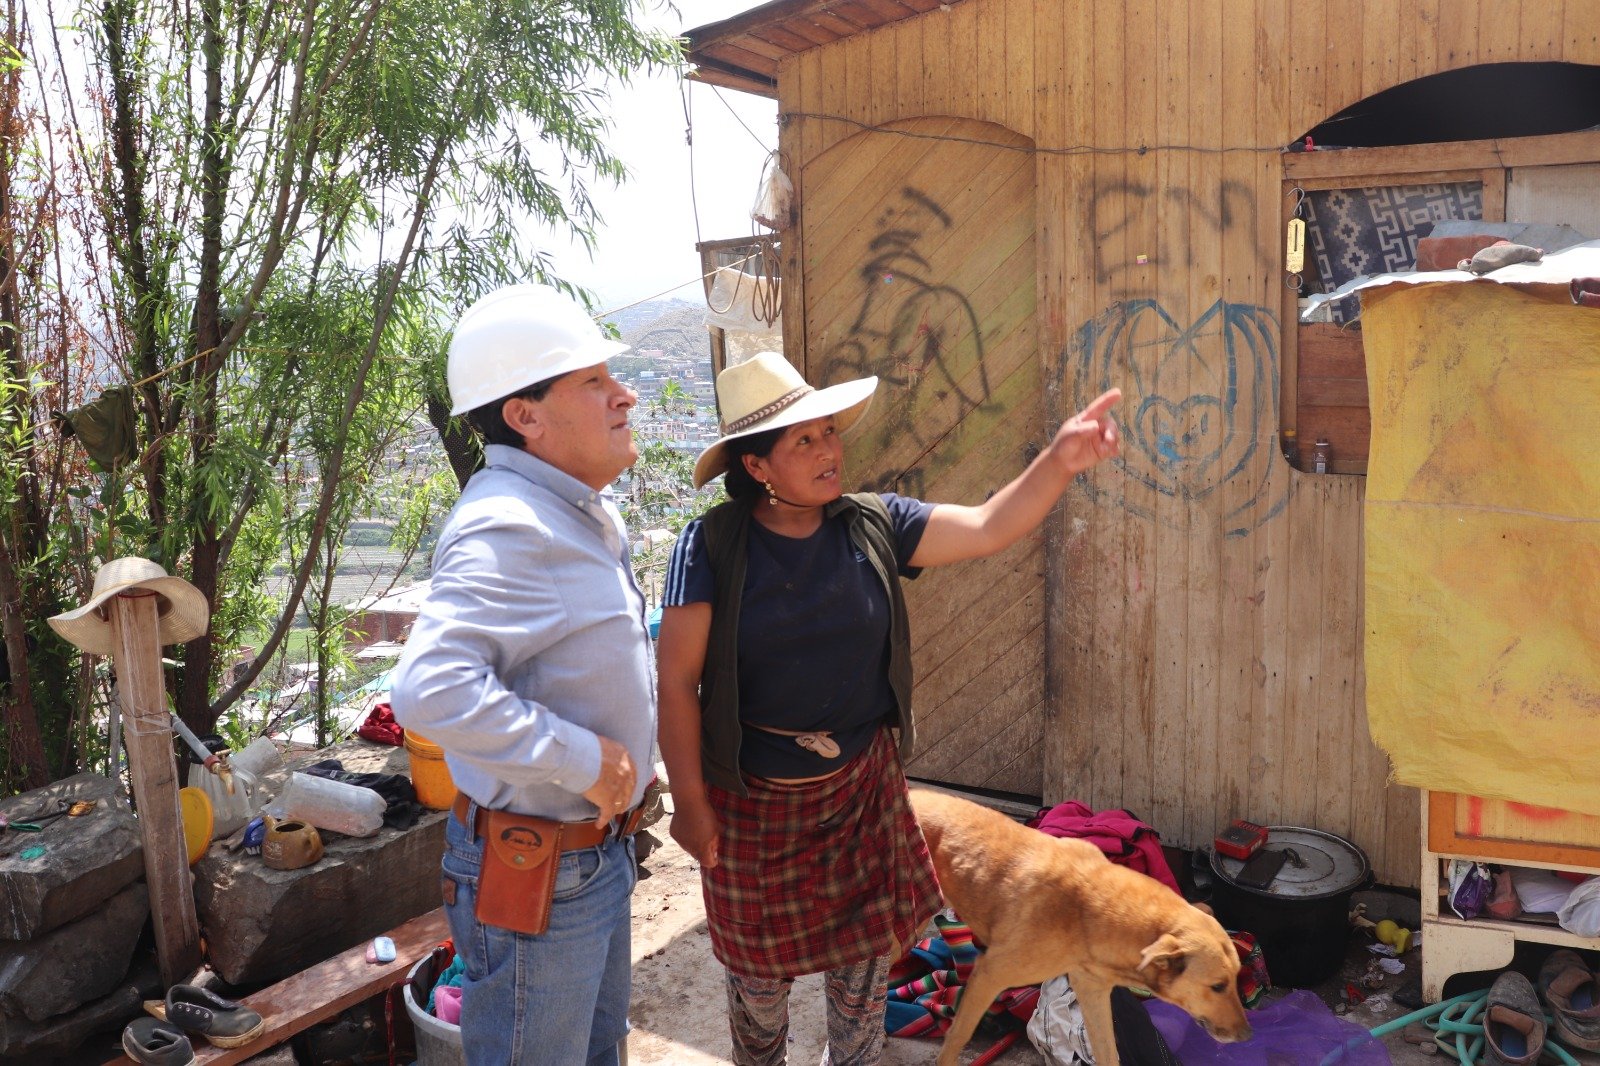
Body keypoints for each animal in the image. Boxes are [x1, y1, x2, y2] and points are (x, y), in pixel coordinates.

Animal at [915, 787, 1248, 1062]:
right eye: (1218, 986)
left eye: (1237, 978)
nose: (1247, 1035)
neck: (1089, 909)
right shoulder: (988, 974)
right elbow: (956, 1037)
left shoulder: (1093, 992)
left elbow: (1109, 1054)